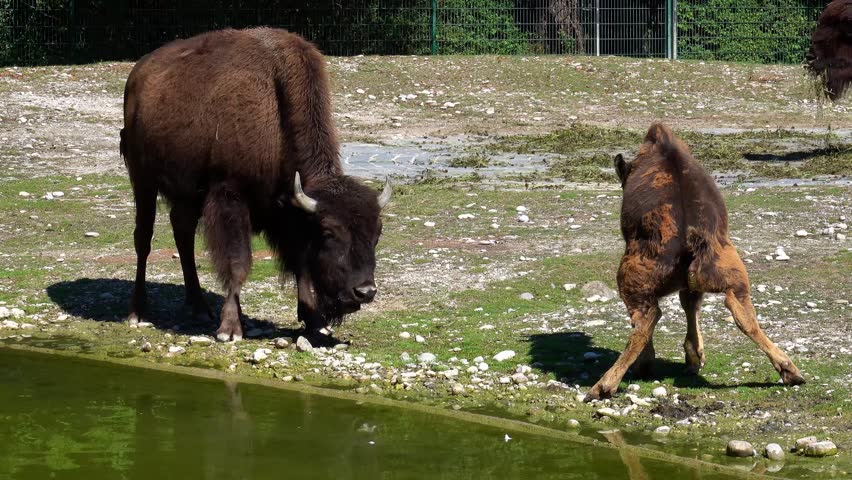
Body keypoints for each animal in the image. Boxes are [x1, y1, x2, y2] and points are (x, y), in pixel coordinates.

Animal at [120, 28, 391, 341]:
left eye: (377, 232)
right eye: (328, 232)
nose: (365, 291)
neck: (276, 109)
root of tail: (137, 74)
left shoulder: (288, 212)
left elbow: (300, 263)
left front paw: (314, 321)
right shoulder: (230, 197)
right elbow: (238, 263)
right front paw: (229, 329)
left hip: (187, 194)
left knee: (182, 232)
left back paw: (199, 307)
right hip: (143, 179)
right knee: (143, 238)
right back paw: (137, 312)